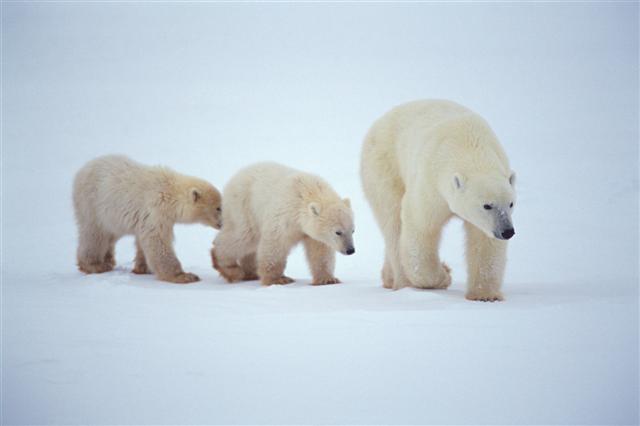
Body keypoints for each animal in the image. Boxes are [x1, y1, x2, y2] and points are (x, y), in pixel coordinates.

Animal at [73, 155, 222, 284]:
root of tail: (82, 169)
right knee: (95, 235)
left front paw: (142, 269)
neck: (170, 192)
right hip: (93, 206)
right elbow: (157, 240)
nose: (223, 223)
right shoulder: (155, 209)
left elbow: (144, 240)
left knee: (110, 235)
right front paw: (184, 276)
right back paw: (95, 265)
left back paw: (108, 261)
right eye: (218, 208)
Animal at [211, 162, 355, 286]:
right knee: (243, 236)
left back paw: (251, 273)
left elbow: (320, 250)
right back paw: (228, 267)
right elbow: (276, 244)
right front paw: (278, 280)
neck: (307, 191)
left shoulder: (312, 232)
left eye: (353, 230)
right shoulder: (284, 215)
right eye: (338, 232)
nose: (350, 250)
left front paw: (327, 279)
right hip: (244, 207)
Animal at [360, 100, 516, 301]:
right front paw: (444, 275)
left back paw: (389, 278)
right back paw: (403, 283)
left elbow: (484, 240)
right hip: (384, 166)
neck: (469, 145)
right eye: (487, 205)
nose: (507, 231)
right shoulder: (431, 183)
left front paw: (485, 295)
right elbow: (420, 229)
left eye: (511, 204)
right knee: (393, 222)